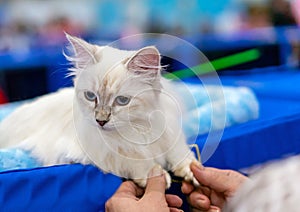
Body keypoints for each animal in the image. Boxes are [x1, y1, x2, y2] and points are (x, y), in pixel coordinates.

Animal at [0, 34, 199, 188]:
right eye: (90, 96)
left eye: (122, 101)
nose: (100, 121)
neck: (137, 127)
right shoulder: (100, 152)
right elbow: (133, 160)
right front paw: (156, 174)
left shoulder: (169, 130)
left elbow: (180, 153)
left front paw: (192, 171)